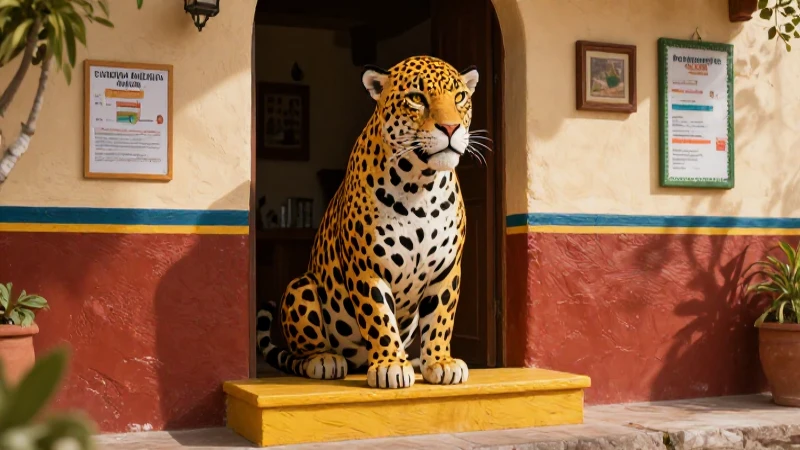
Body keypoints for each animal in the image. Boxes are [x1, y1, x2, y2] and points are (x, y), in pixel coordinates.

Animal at [256, 55, 481, 389]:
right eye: (416, 98)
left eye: (460, 97)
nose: (451, 127)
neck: (420, 186)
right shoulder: (367, 268)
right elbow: (379, 317)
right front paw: (390, 365)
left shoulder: (447, 269)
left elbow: (442, 317)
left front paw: (439, 361)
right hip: (301, 285)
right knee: (305, 351)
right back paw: (324, 360)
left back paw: (415, 360)